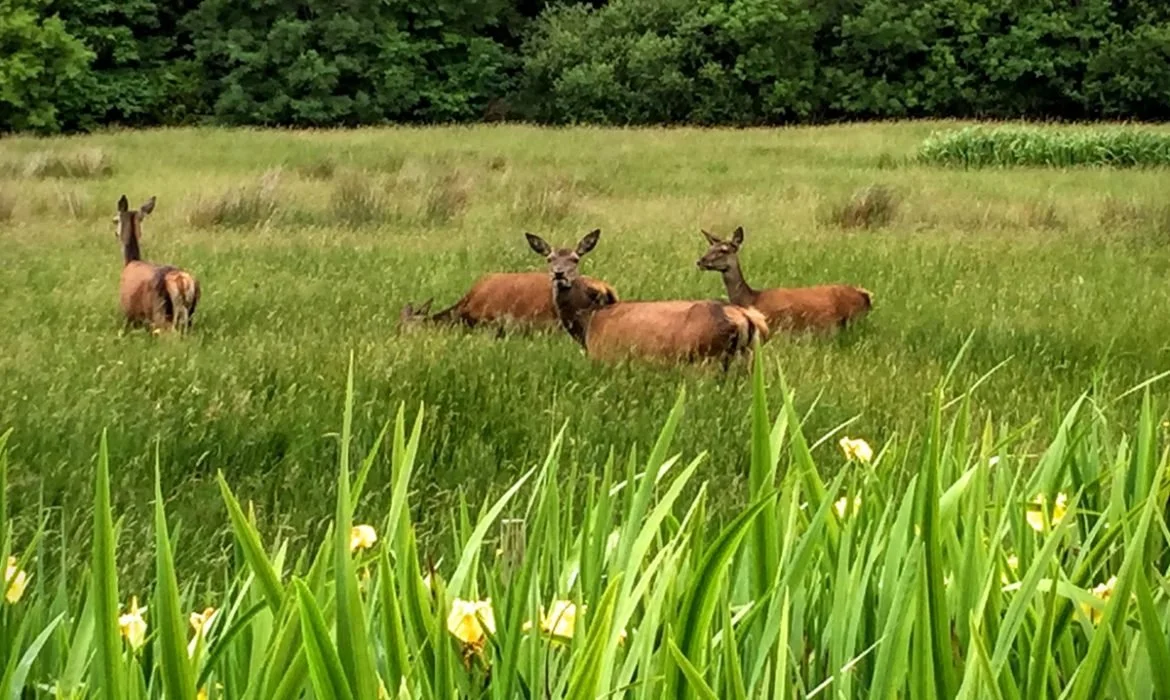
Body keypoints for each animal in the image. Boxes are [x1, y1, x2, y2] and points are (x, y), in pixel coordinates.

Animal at [113, 195, 201, 334]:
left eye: (115, 220)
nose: (116, 234)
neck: (130, 261)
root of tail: (182, 282)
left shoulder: (128, 312)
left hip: (160, 313)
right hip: (190, 314)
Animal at [526, 229, 768, 370]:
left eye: (575, 259)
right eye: (549, 259)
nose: (559, 274)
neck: (588, 323)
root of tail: (746, 318)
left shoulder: (606, 358)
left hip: (706, 359)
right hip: (747, 360)